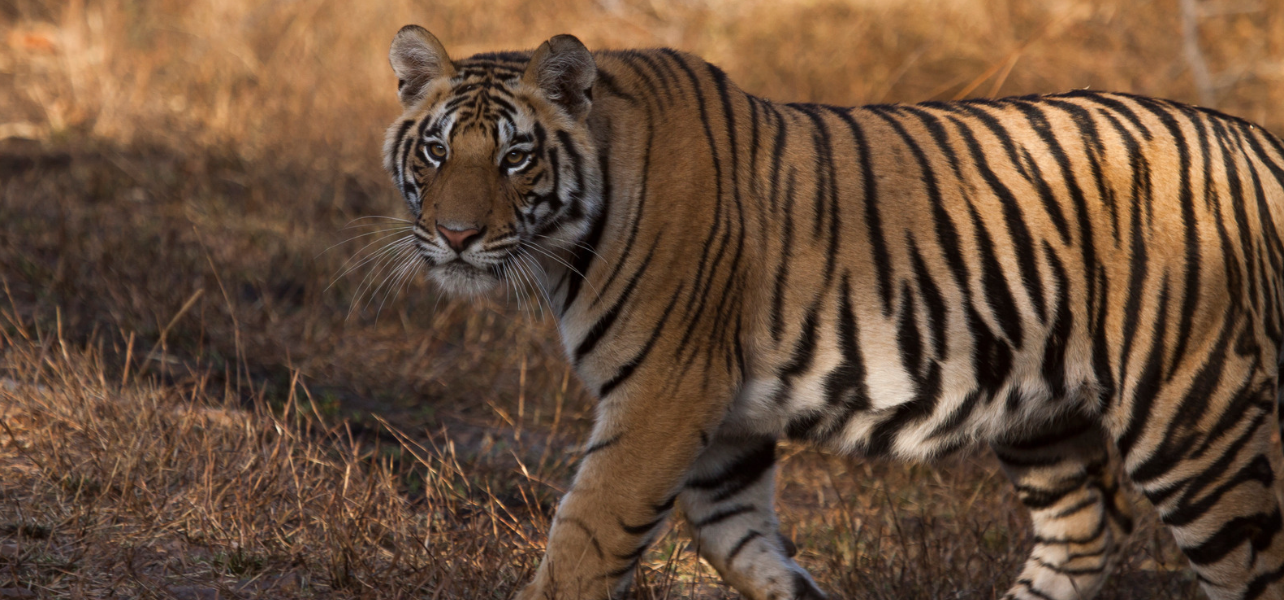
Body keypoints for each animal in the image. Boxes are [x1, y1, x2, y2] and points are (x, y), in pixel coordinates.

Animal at [380, 24, 1284, 600]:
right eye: (436, 150)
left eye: (515, 156)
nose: (454, 236)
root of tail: (1257, 141)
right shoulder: (723, 426)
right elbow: (738, 543)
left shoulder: (663, 400)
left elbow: (585, 542)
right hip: (1044, 413)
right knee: (1084, 533)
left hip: (1192, 421)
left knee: (1248, 567)